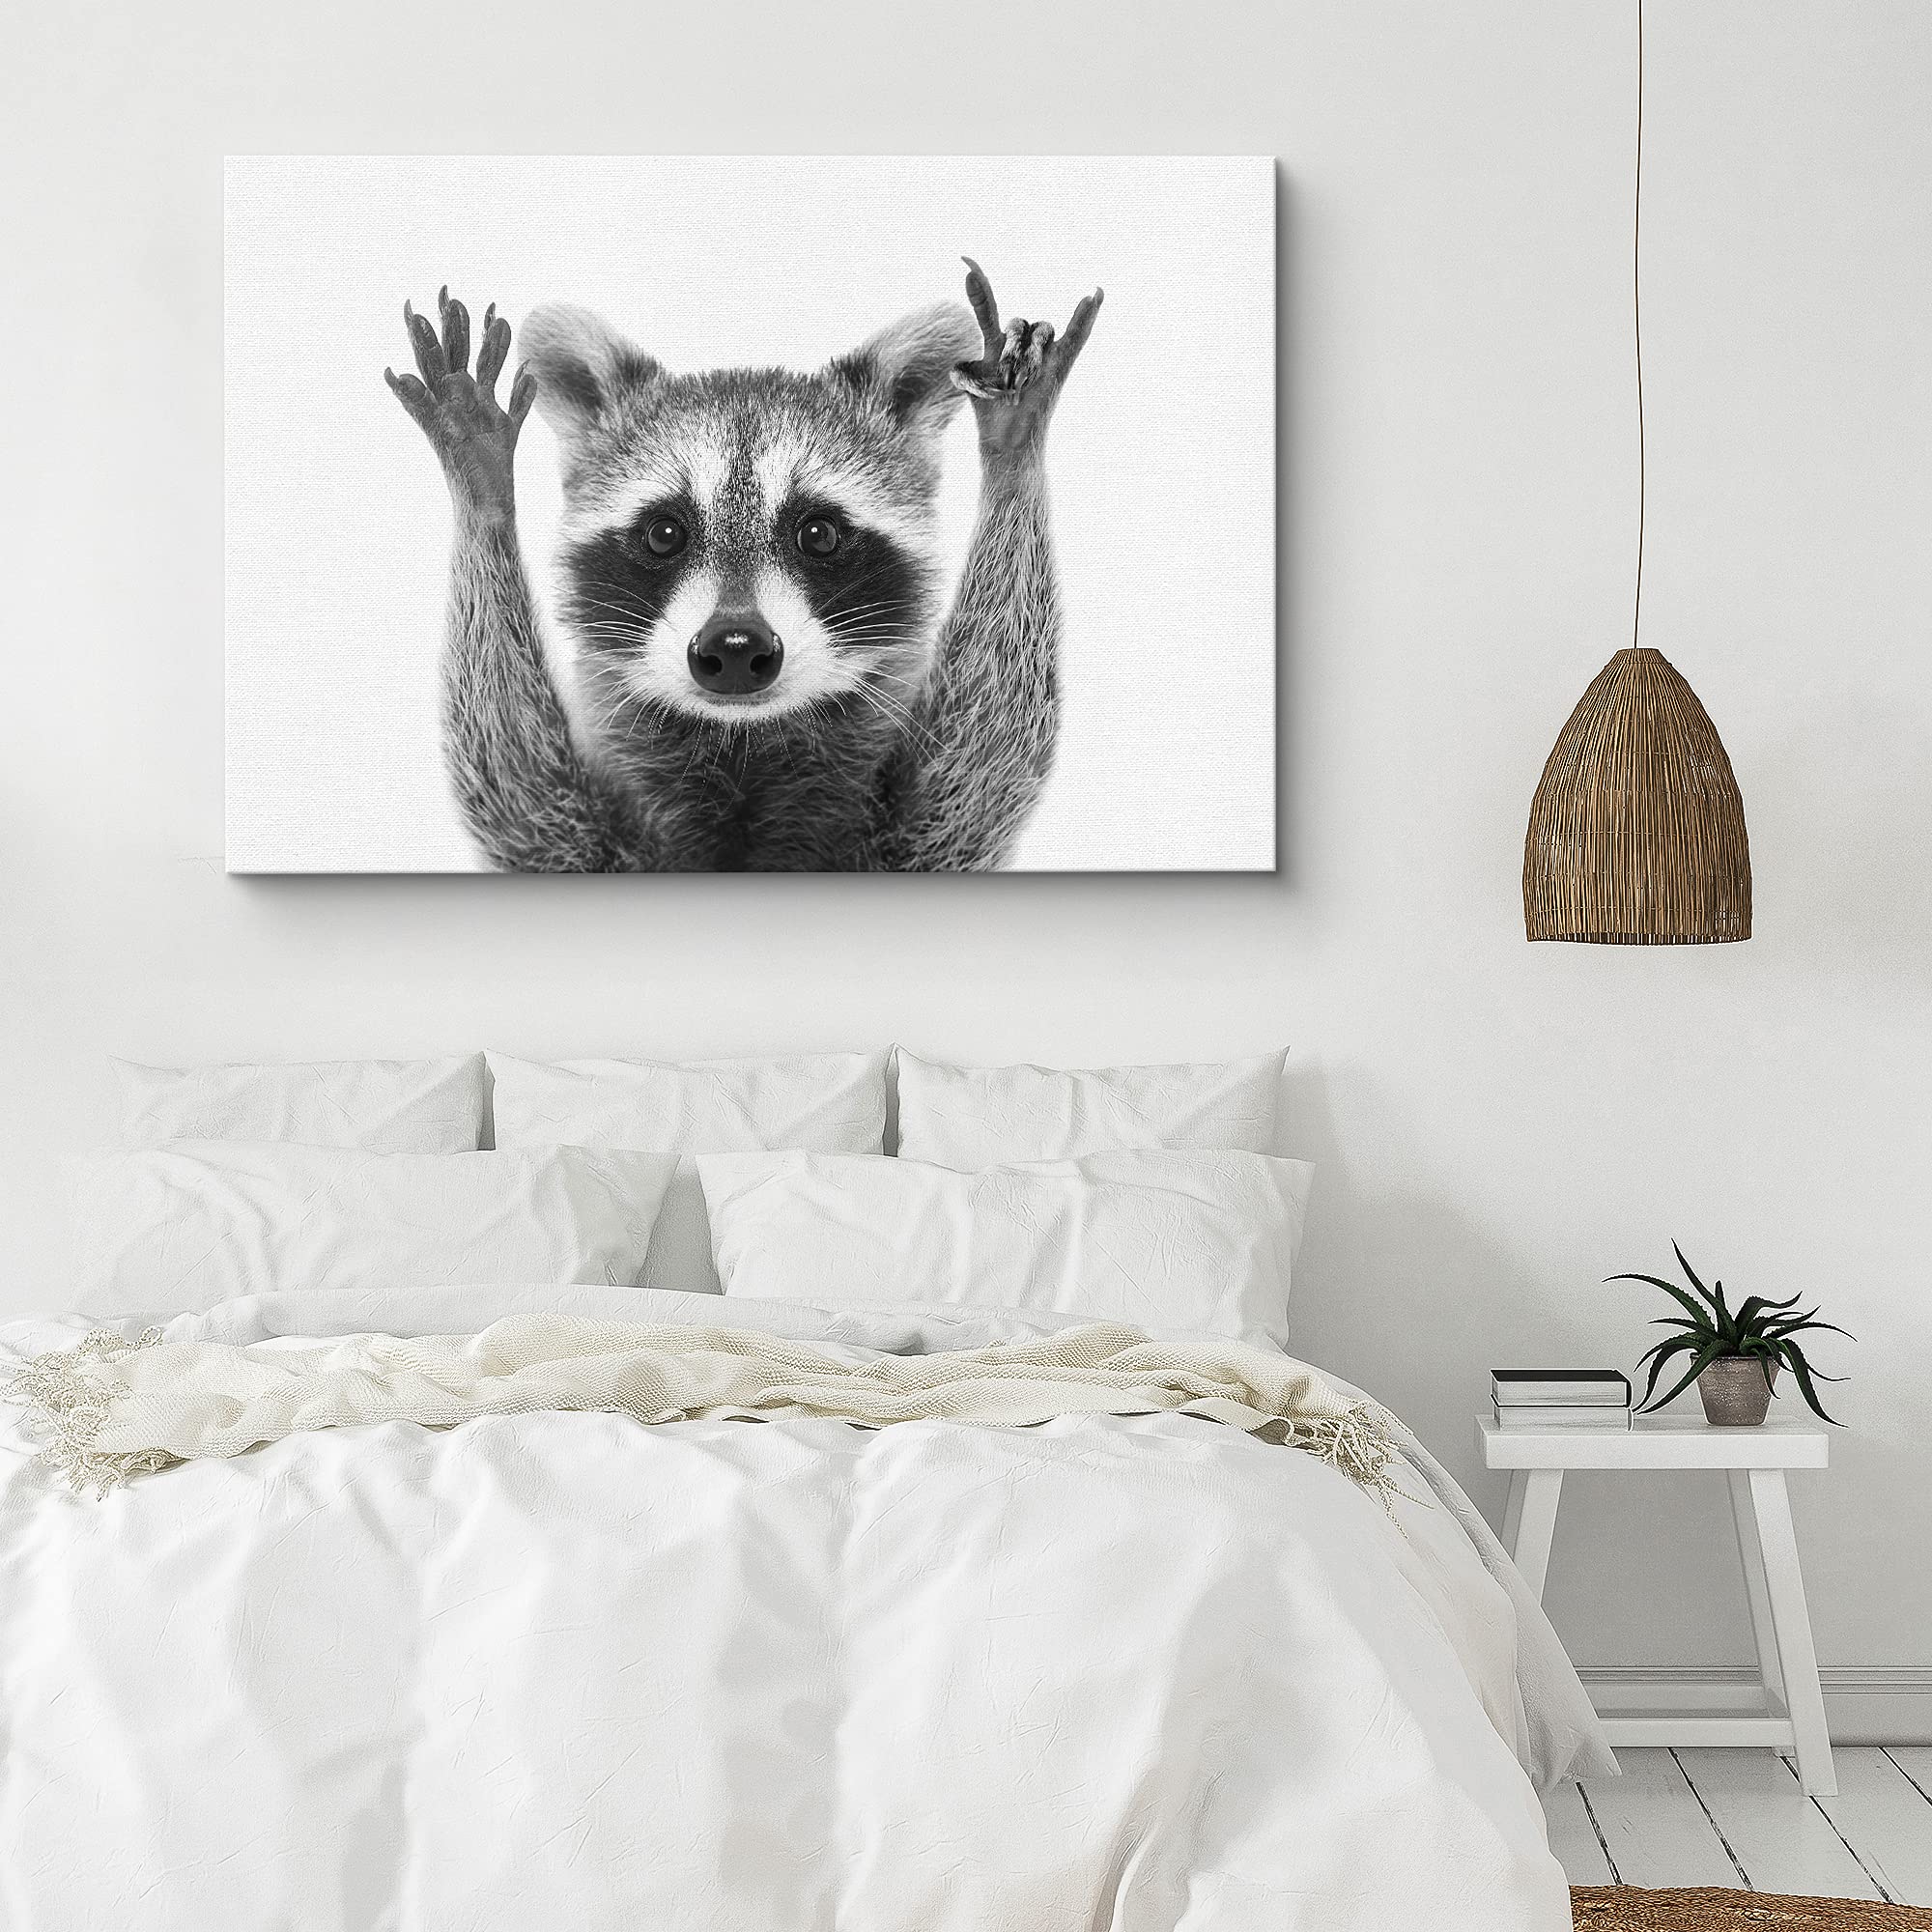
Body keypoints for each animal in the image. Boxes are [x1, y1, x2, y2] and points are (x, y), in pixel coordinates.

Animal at [384, 262, 1102, 871]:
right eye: (664, 534)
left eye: (818, 534)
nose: (734, 647)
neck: (742, 747)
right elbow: (516, 789)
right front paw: (482, 484)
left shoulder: (912, 841)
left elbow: (984, 763)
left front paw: (1013, 449)